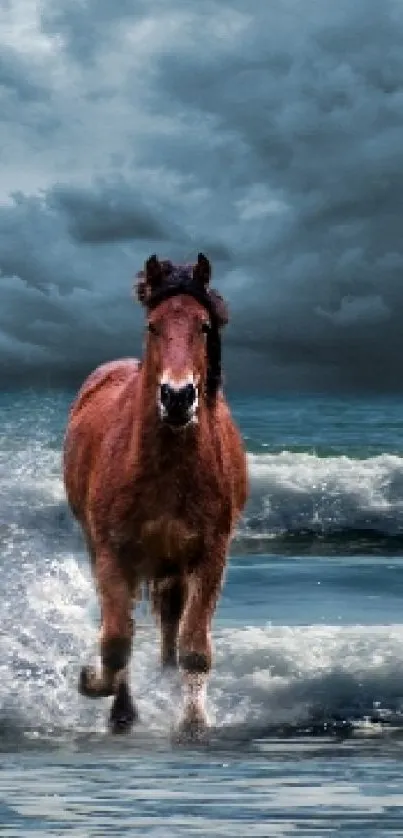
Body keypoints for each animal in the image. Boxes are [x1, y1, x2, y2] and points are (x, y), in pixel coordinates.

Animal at [62, 253, 248, 740]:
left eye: (204, 325)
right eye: (153, 325)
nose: (178, 397)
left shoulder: (209, 556)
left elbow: (194, 647)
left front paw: (194, 723)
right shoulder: (112, 555)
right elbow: (115, 640)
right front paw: (96, 687)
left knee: (170, 627)